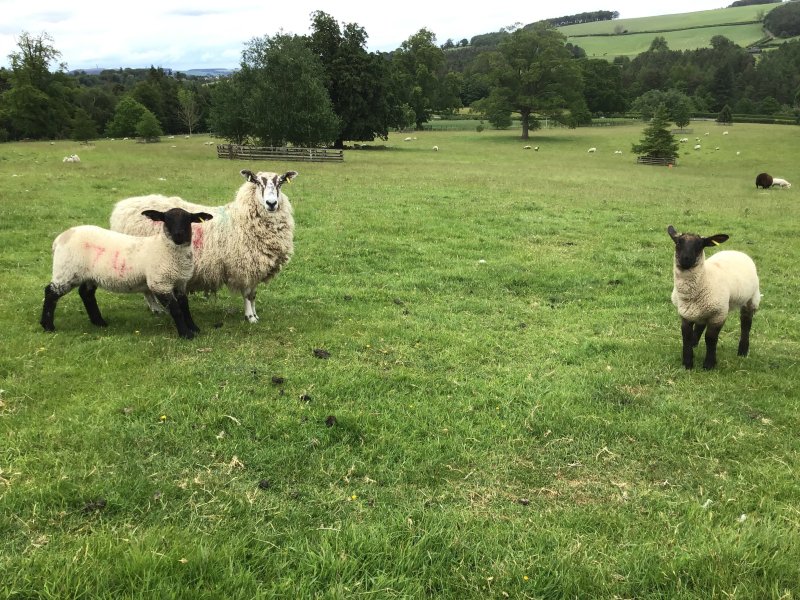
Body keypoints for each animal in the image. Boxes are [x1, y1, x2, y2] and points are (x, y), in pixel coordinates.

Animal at [40, 206, 212, 338]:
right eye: (166, 219)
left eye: (188, 220)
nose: (178, 235)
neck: (164, 248)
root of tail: (59, 239)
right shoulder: (160, 283)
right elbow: (176, 310)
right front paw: (186, 334)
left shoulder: (180, 283)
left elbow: (185, 307)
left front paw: (194, 328)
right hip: (66, 270)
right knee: (50, 293)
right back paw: (47, 325)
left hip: (89, 275)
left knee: (86, 294)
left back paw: (99, 322)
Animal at [109, 169, 296, 324]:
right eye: (257, 181)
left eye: (281, 182)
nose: (271, 203)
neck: (241, 218)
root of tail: (122, 207)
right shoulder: (244, 267)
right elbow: (247, 295)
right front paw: (250, 317)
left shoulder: (256, 267)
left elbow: (253, 295)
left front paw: (255, 315)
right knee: (147, 290)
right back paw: (156, 308)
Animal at [664, 225, 760, 370]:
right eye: (678, 242)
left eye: (700, 245)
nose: (686, 259)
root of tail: (736, 251)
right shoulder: (685, 314)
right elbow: (686, 337)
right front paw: (688, 363)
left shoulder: (718, 314)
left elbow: (710, 338)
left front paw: (709, 364)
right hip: (703, 309)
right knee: (700, 325)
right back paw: (694, 343)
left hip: (751, 298)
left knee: (746, 323)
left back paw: (742, 351)